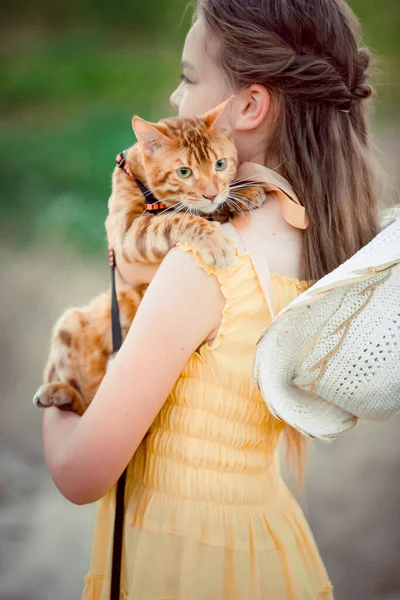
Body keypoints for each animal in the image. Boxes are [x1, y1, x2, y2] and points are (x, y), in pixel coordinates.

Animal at [33, 101, 266, 414]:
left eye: (220, 164)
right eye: (184, 171)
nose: (211, 193)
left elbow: (202, 209)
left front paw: (244, 192)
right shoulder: (128, 233)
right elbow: (179, 219)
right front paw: (214, 239)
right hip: (69, 324)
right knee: (83, 403)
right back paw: (58, 393)